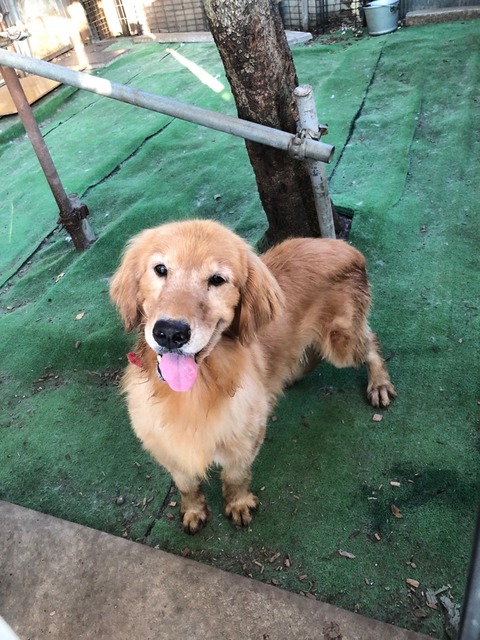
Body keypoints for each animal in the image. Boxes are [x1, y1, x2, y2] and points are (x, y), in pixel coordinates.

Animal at [110, 219, 396, 534]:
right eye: (160, 269)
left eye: (217, 280)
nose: (170, 333)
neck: (199, 388)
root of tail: (343, 246)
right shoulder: (166, 447)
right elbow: (186, 485)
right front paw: (194, 510)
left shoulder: (246, 437)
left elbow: (234, 477)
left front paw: (238, 505)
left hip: (341, 344)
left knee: (371, 342)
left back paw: (379, 384)